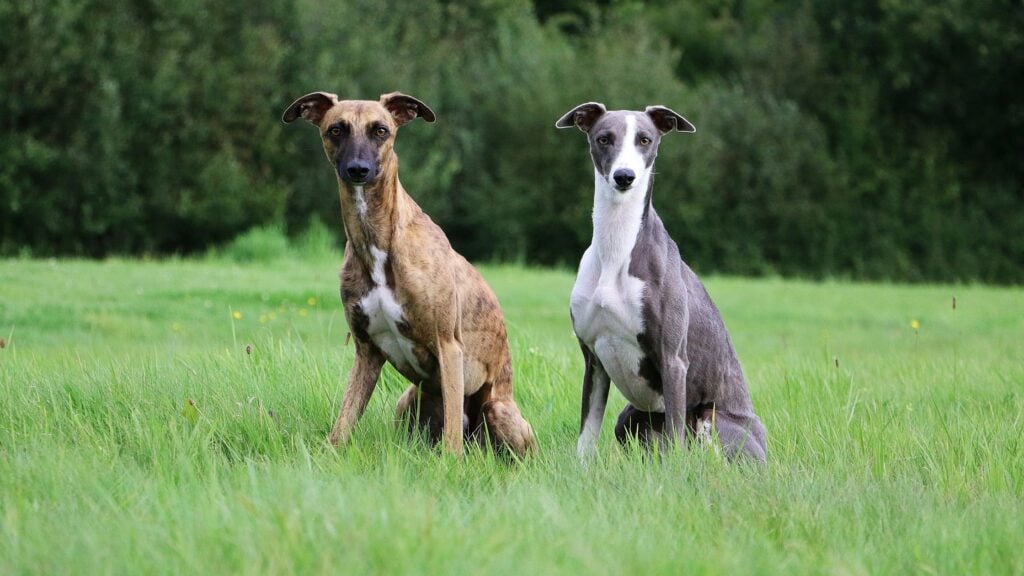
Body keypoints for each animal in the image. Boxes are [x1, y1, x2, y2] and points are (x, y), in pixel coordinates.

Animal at [557, 101, 765, 461]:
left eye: (645, 139)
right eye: (603, 138)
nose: (624, 177)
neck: (617, 250)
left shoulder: (673, 361)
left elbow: (676, 437)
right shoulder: (593, 359)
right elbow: (587, 434)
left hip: (712, 419)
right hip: (629, 417)